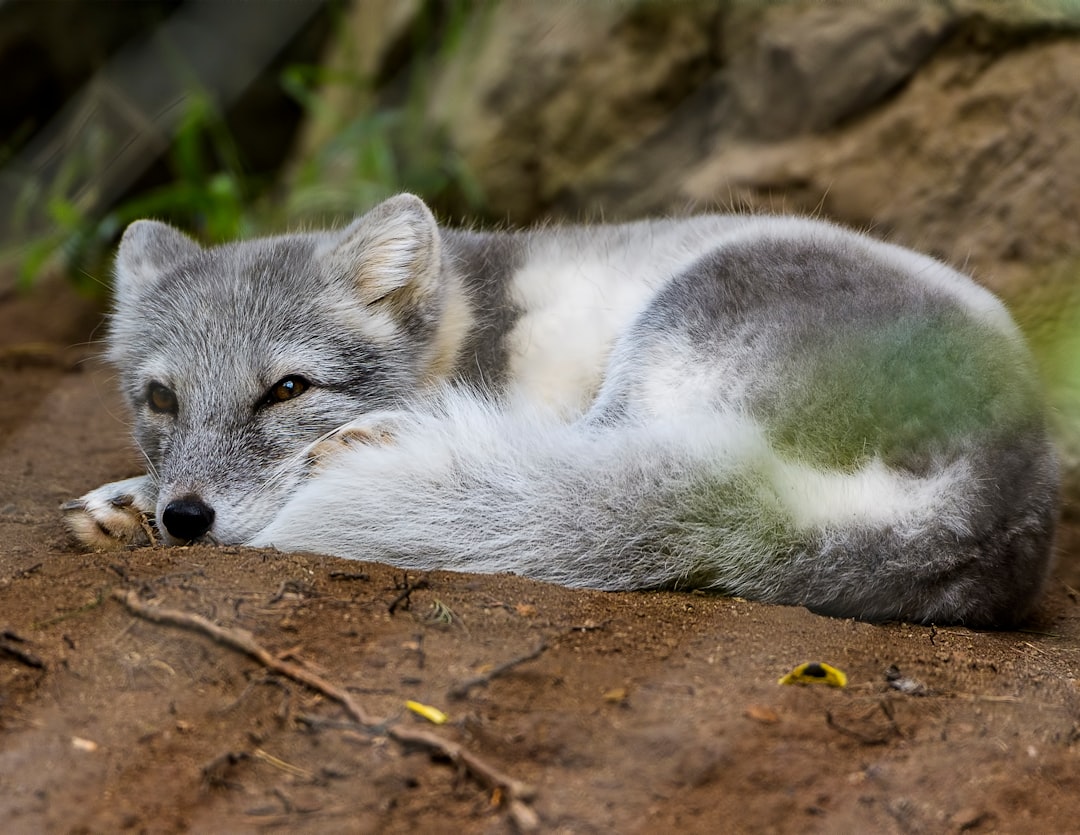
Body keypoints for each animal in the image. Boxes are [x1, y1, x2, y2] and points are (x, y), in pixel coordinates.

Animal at [63, 193, 1058, 626]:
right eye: (161, 397)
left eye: (288, 389)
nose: (187, 519)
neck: (466, 327)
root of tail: (995, 504)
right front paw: (128, 498)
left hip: (682, 316)